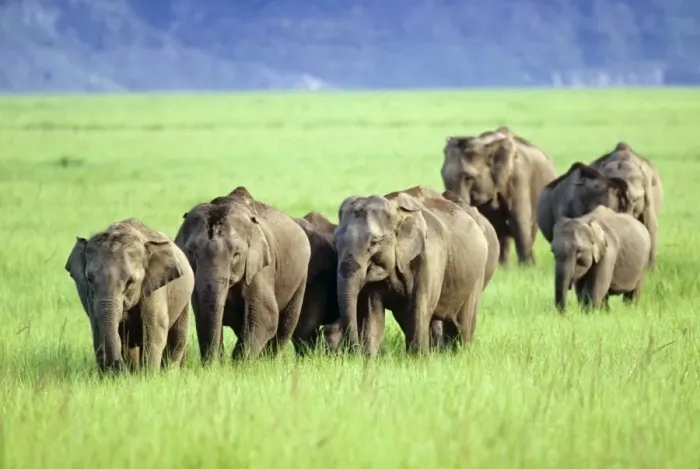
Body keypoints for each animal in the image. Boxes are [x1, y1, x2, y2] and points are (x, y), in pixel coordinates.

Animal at [64, 218, 194, 373]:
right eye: (89, 279)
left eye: (130, 281)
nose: (118, 367)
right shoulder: (89, 297)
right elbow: (98, 330)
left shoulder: (155, 287)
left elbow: (155, 328)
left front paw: (149, 375)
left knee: (178, 336)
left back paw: (169, 372)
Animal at [174, 186, 311, 363]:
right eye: (192, 253)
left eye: (236, 254)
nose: (215, 363)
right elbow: (201, 313)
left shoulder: (259, 267)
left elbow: (265, 315)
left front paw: (238, 365)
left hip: (301, 275)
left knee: (286, 324)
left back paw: (268, 362)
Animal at [326, 185, 489, 356]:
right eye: (335, 242)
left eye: (374, 242)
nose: (352, 352)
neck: (394, 208)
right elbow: (373, 312)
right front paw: (369, 358)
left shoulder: (430, 256)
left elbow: (419, 307)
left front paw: (418, 358)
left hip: (477, 273)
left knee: (464, 323)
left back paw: (460, 353)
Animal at [441, 126, 557, 266]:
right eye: (442, 175)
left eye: (468, 177)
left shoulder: (519, 179)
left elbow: (519, 222)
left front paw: (527, 268)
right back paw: (503, 266)